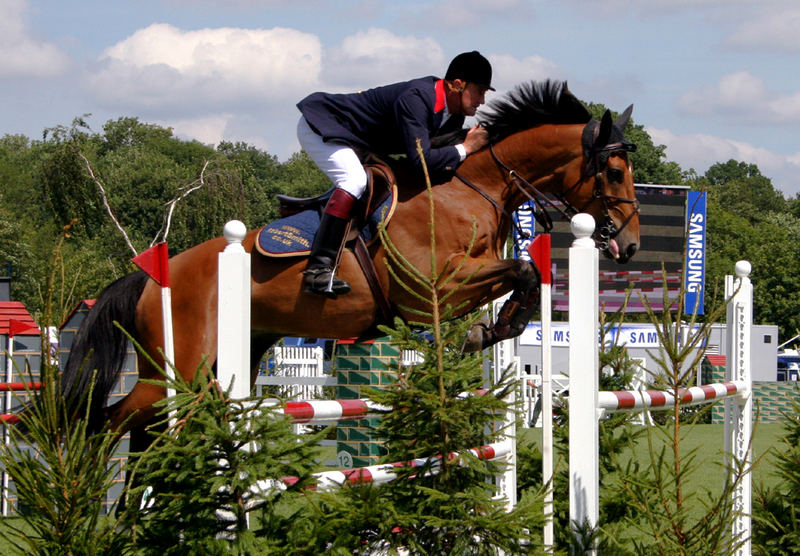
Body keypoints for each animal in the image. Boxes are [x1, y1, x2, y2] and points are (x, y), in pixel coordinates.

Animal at [62, 79, 640, 444]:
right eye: (613, 172)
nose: (631, 245)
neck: (470, 188)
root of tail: (148, 278)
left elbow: (525, 276)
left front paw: (493, 330)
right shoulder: (434, 285)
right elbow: (522, 270)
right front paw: (485, 333)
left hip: (224, 363)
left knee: (141, 427)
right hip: (177, 369)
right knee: (108, 423)